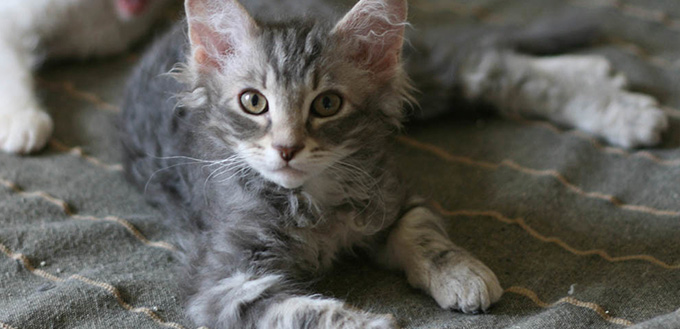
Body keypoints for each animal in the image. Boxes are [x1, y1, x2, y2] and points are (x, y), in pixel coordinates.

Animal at [122, 0, 668, 326]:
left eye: (327, 105)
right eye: (253, 103)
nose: (287, 148)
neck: (312, 201)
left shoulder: (389, 191)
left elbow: (423, 232)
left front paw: (459, 273)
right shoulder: (223, 283)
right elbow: (313, 315)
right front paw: (374, 320)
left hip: (414, 72)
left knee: (486, 63)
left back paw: (619, 101)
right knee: (489, 63)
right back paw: (605, 79)